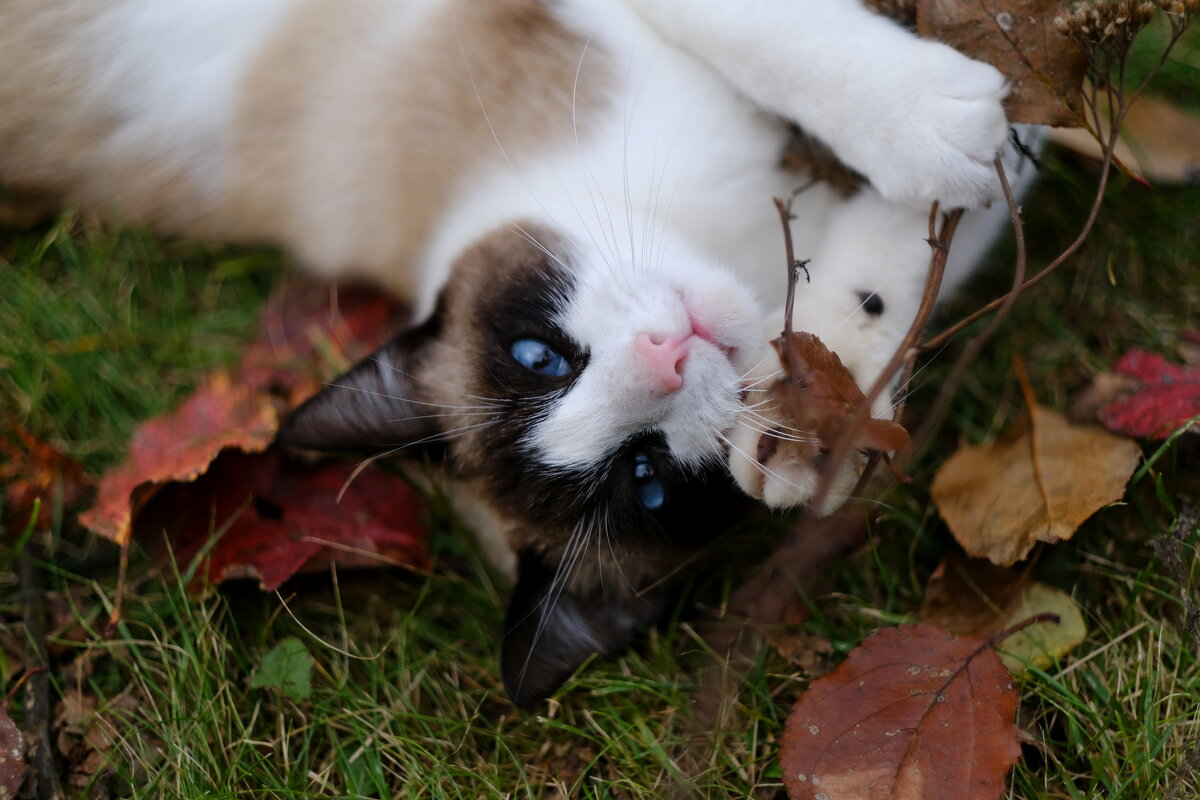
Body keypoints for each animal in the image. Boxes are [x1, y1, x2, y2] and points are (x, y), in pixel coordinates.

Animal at [0, 0, 1032, 705]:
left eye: (540, 357)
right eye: (646, 478)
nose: (668, 355)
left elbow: (759, 29)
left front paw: (946, 119)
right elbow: (906, 275)